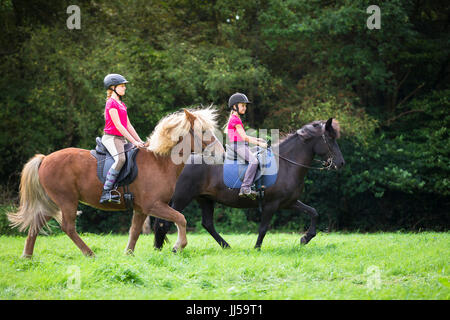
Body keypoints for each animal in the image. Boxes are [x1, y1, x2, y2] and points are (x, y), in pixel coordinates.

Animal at [7, 107, 222, 258]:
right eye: (203, 131)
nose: (221, 153)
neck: (160, 162)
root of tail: (44, 159)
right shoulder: (153, 205)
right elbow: (180, 218)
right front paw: (178, 246)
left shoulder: (141, 209)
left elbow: (134, 231)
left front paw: (128, 254)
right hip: (66, 200)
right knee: (68, 227)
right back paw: (89, 253)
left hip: (53, 202)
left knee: (37, 222)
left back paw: (27, 256)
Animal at [154, 118, 344, 250]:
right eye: (329, 139)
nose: (341, 163)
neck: (286, 164)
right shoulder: (271, 204)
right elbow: (263, 228)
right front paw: (257, 249)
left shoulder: (289, 202)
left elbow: (313, 212)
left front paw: (305, 238)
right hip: (182, 197)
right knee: (166, 221)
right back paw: (161, 248)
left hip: (205, 199)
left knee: (207, 223)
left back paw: (226, 246)